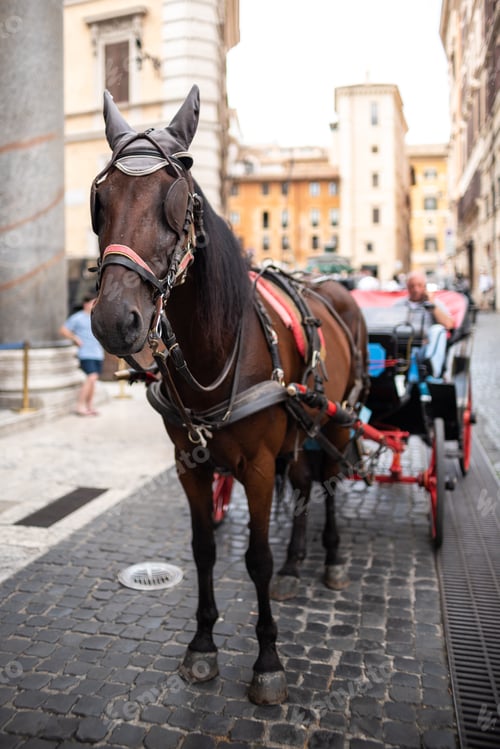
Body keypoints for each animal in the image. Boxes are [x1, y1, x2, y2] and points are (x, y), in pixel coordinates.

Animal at [90, 85, 368, 705]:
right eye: (102, 199)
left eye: (176, 201)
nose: (115, 320)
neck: (216, 347)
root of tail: (335, 288)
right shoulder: (189, 464)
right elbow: (204, 550)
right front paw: (202, 645)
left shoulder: (259, 465)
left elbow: (255, 558)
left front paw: (268, 660)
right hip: (300, 427)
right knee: (305, 482)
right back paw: (297, 563)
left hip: (338, 419)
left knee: (330, 483)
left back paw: (332, 557)